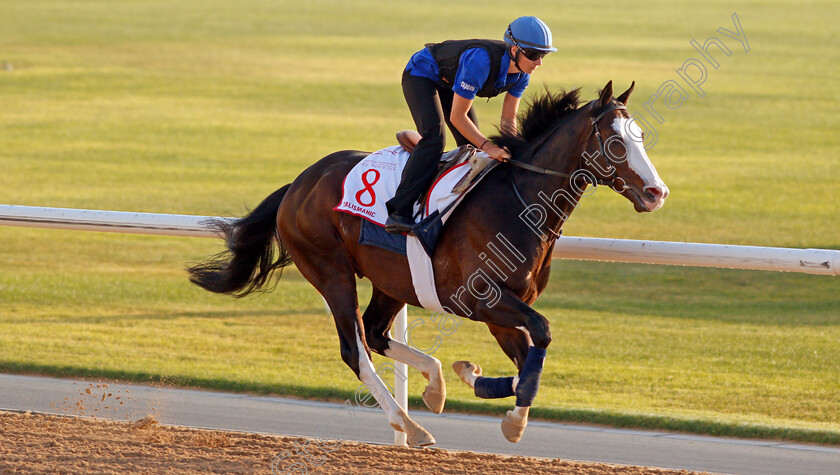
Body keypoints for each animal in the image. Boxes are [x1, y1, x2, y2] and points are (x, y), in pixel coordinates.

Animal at [189, 81, 668, 446]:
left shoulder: (503, 308)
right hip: (331, 272)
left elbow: (527, 361)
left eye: (640, 136)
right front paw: (512, 420)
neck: (518, 203)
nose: (656, 193)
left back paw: (434, 385)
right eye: (615, 142)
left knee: (376, 332)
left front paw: (471, 375)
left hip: (390, 280)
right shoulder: (481, 299)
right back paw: (410, 426)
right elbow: (542, 335)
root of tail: (297, 184)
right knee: (355, 348)